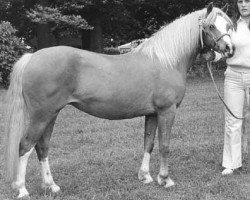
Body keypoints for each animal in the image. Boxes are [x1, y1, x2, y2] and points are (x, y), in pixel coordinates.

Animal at [4, 2, 234, 198]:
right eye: (211, 25)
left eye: (228, 25)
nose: (229, 49)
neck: (165, 61)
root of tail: (32, 57)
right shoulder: (167, 111)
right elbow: (164, 144)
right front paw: (165, 179)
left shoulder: (152, 113)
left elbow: (148, 143)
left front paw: (146, 177)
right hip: (41, 116)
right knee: (25, 146)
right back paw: (22, 190)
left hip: (51, 115)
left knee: (42, 147)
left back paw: (51, 186)